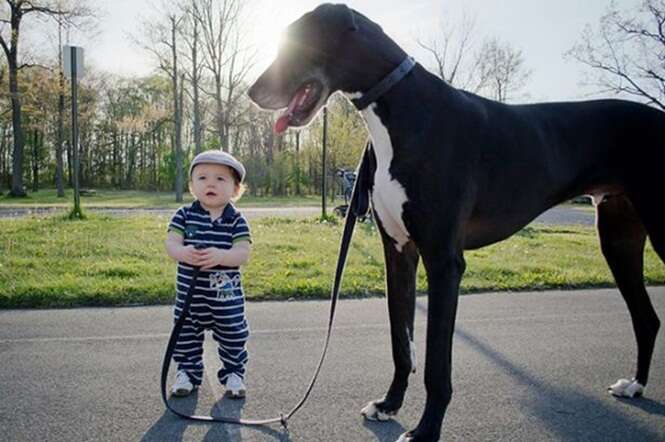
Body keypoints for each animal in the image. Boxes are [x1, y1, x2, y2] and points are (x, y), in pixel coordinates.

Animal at [246, 4, 660, 442]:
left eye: (297, 43)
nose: (252, 92)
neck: (401, 108)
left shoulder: (444, 261)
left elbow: (435, 363)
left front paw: (426, 430)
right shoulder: (398, 253)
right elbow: (401, 342)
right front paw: (389, 404)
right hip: (617, 237)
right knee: (647, 318)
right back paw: (635, 385)